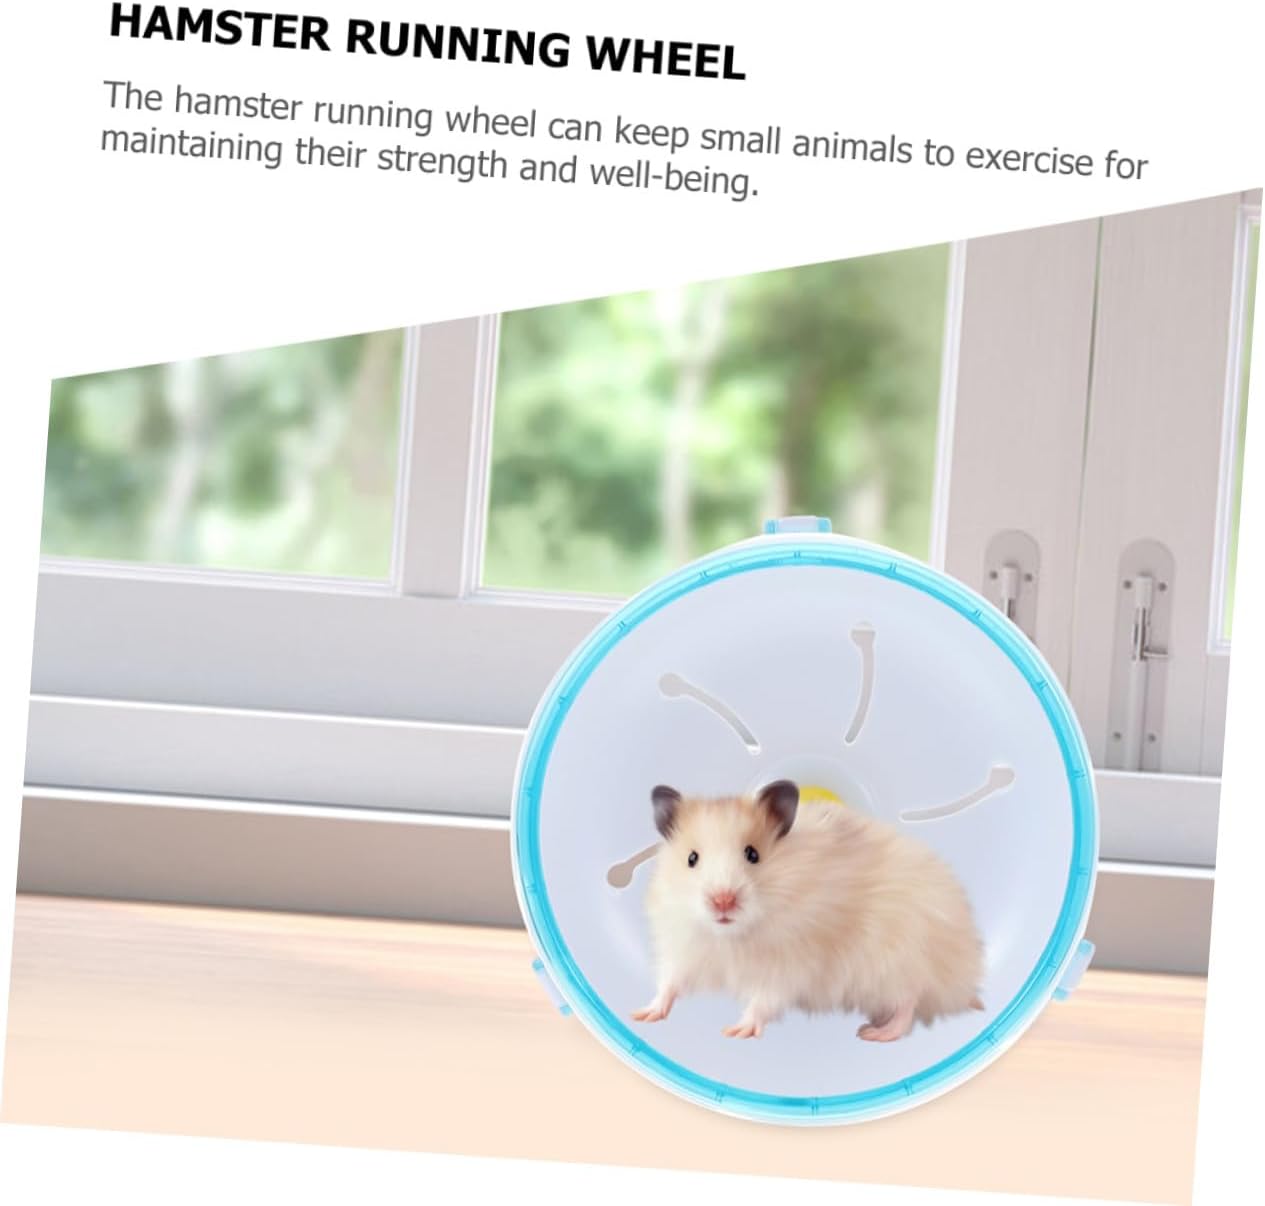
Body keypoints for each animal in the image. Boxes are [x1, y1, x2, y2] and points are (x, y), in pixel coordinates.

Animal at [631, 779, 985, 1041]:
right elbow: (669, 983)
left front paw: (735, 1031)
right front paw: (643, 1015)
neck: (731, 935)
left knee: (909, 1002)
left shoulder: (790, 964)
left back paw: (874, 1033)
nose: (723, 901)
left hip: (899, 961)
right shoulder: (684, 948)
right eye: (692, 859)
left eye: (753, 854)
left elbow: (763, 1000)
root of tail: (964, 979)